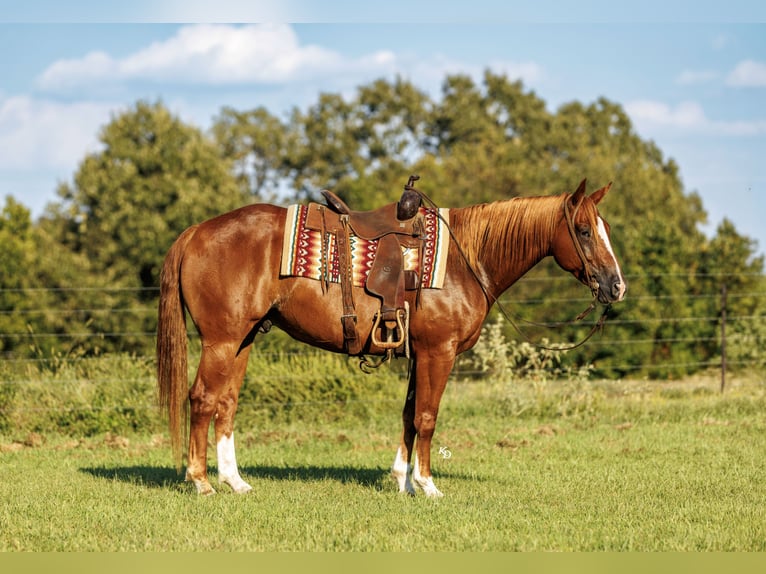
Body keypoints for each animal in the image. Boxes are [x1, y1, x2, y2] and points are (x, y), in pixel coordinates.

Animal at [157, 178, 626, 497]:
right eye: (584, 230)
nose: (616, 286)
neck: (465, 260)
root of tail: (197, 231)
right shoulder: (439, 352)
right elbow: (427, 417)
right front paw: (428, 485)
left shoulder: (419, 354)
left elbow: (408, 415)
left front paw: (403, 482)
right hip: (221, 341)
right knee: (202, 399)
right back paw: (201, 482)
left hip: (244, 339)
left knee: (226, 403)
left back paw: (235, 481)